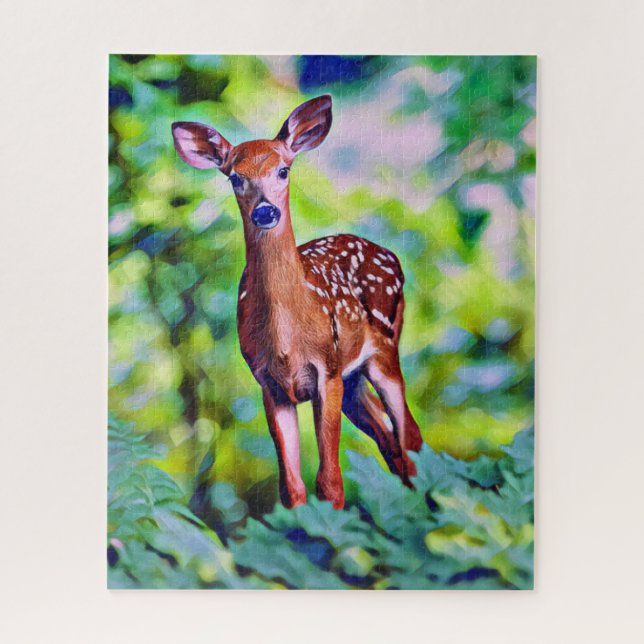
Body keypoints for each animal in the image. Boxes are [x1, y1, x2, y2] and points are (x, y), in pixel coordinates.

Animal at [172, 94, 422, 510]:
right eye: (234, 177)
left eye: (283, 170)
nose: (265, 211)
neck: (288, 339)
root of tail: (390, 254)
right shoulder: (269, 383)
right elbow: (291, 487)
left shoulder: (327, 370)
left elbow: (330, 481)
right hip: (354, 379)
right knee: (393, 444)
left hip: (384, 348)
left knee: (410, 438)